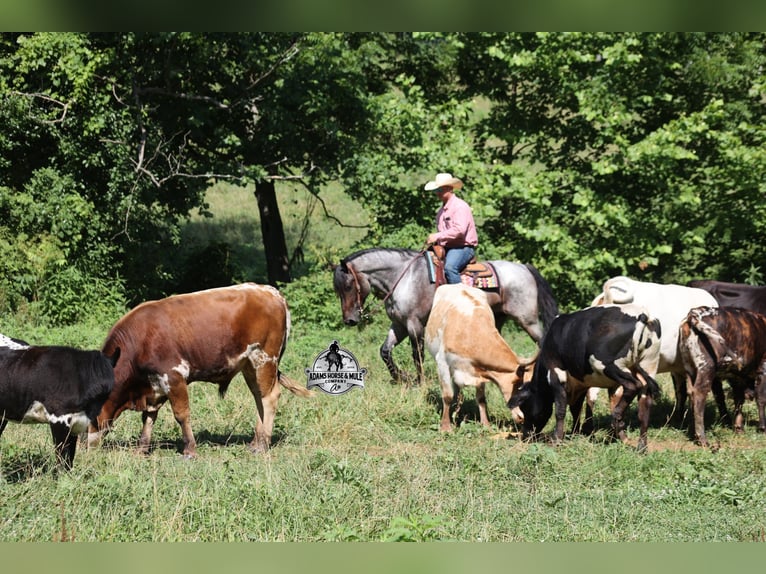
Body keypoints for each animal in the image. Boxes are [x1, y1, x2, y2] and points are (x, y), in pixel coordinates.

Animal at [333, 247, 559, 384]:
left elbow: (417, 355)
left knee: (541, 342)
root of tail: (524, 267)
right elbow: (385, 351)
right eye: (337, 290)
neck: (404, 278)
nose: (350, 320)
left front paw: (420, 382)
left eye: (348, 285)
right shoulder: (399, 324)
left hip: (527, 319)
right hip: (500, 318)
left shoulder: (414, 324)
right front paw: (399, 377)